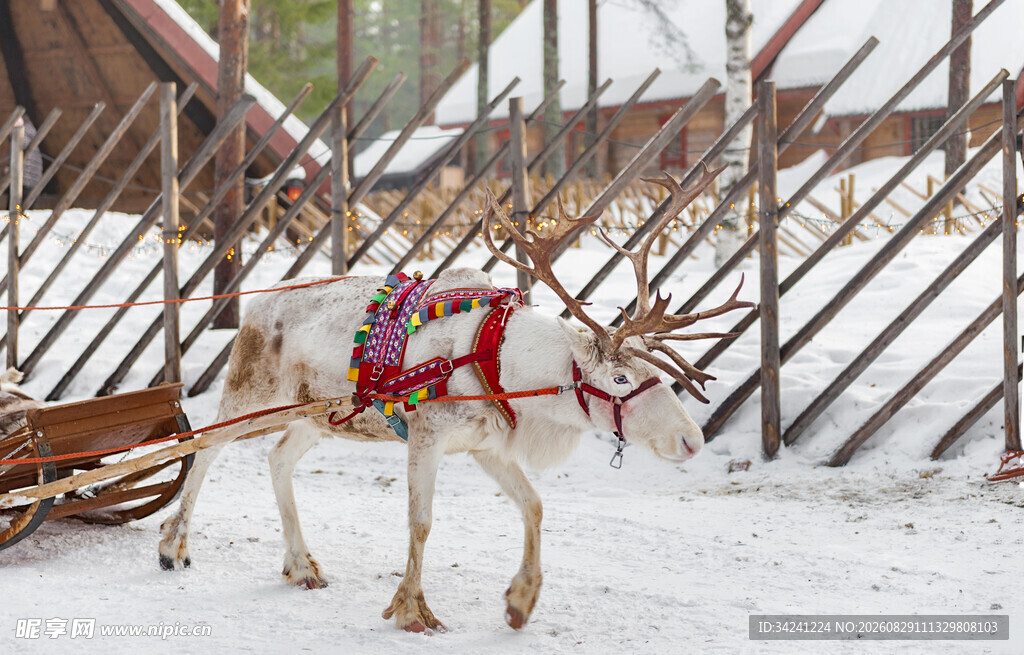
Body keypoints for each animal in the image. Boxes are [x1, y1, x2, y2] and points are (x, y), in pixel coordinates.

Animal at [157, 165, 754, 633]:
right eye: (622, 380)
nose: (692, 439)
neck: (501, 363)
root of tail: (253, 309)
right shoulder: (427, 435)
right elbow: (420, 522)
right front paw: (411, 610)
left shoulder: (488, 446)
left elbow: (534, 505)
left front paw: (520, 602)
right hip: (251, 393)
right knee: (205, 447)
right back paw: (173, 546)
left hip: (322, 416)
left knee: (278, 458)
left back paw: (302, 565)